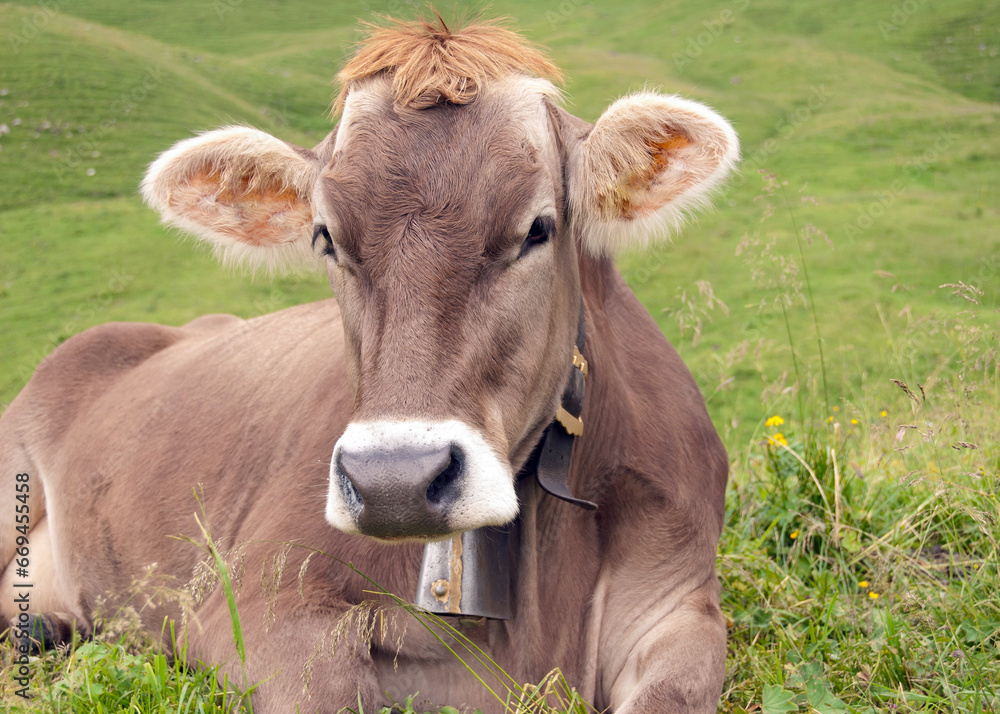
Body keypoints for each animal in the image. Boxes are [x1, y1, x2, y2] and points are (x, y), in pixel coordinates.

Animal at [0, 16, 736, 712]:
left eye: (537, 228)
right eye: (326, 237)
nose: (394, 483)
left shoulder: (679, 603)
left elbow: (677, 690)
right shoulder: (259, 601)